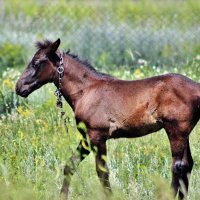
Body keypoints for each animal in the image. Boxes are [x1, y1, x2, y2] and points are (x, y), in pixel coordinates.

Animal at [16, 38, 200, 199]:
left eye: (36, 62)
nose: (19, 87)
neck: (86, 90)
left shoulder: (97, 136)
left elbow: (102, 173)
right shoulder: (87, 137)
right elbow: (70, 165)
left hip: (175, 130)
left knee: (178, 167)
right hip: (183, 133)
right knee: (187, 165)